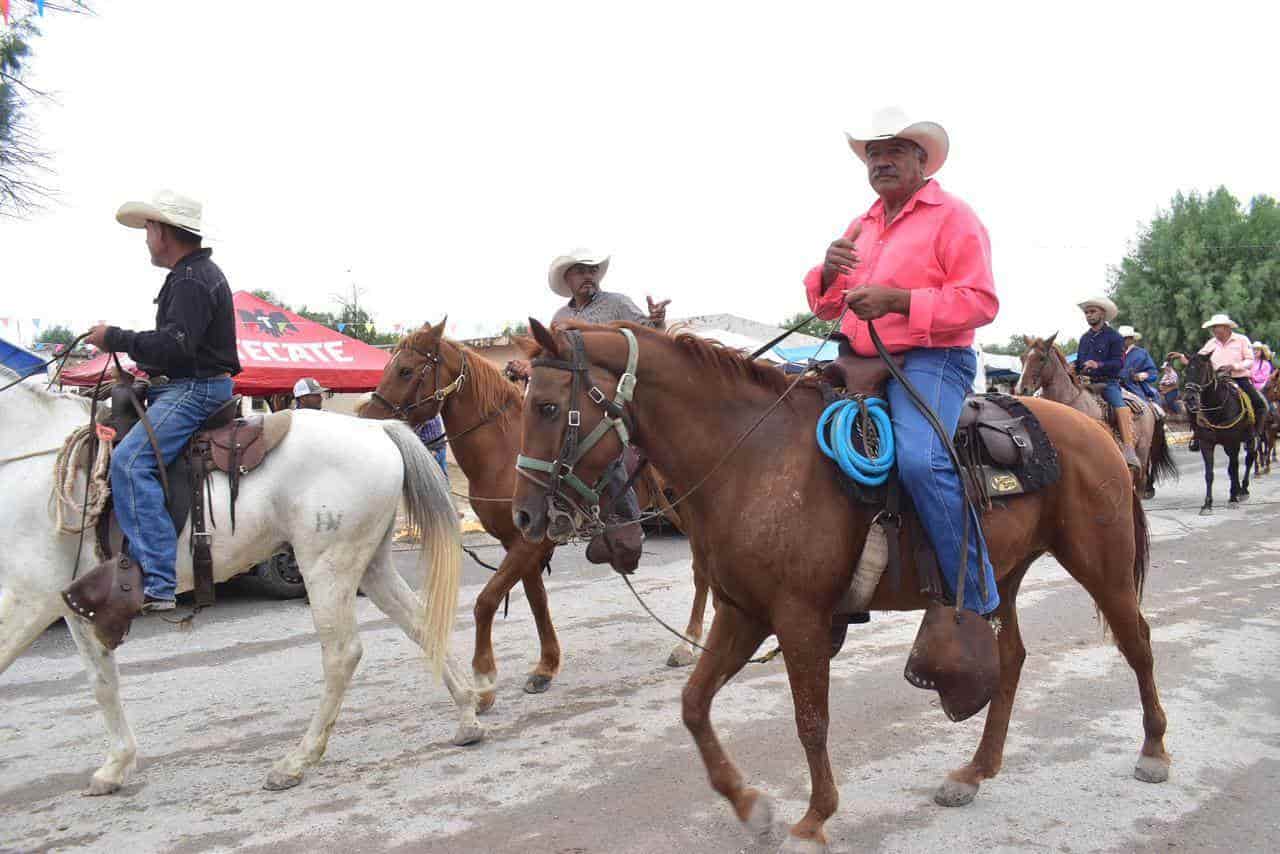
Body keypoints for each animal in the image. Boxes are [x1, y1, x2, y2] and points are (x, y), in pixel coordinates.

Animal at [1, 373, 481, 793]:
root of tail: (376, 428)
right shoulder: (67, 603)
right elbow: (103, 681)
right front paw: (117, 765)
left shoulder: (37, 597)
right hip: (369, 564)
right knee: (420, 623)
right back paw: (468, 714)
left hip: (326, 566)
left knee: (342, 653)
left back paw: (297, 760)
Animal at [360, 317, 711, 711]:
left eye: (405, 370)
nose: (366, 419)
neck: (502, 453)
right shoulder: (522, 538)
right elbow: (536, 600)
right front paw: (546, 667)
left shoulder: (529, 542)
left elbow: (486, 601)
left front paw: (484, 680)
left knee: (701, 572)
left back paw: (688, 642)